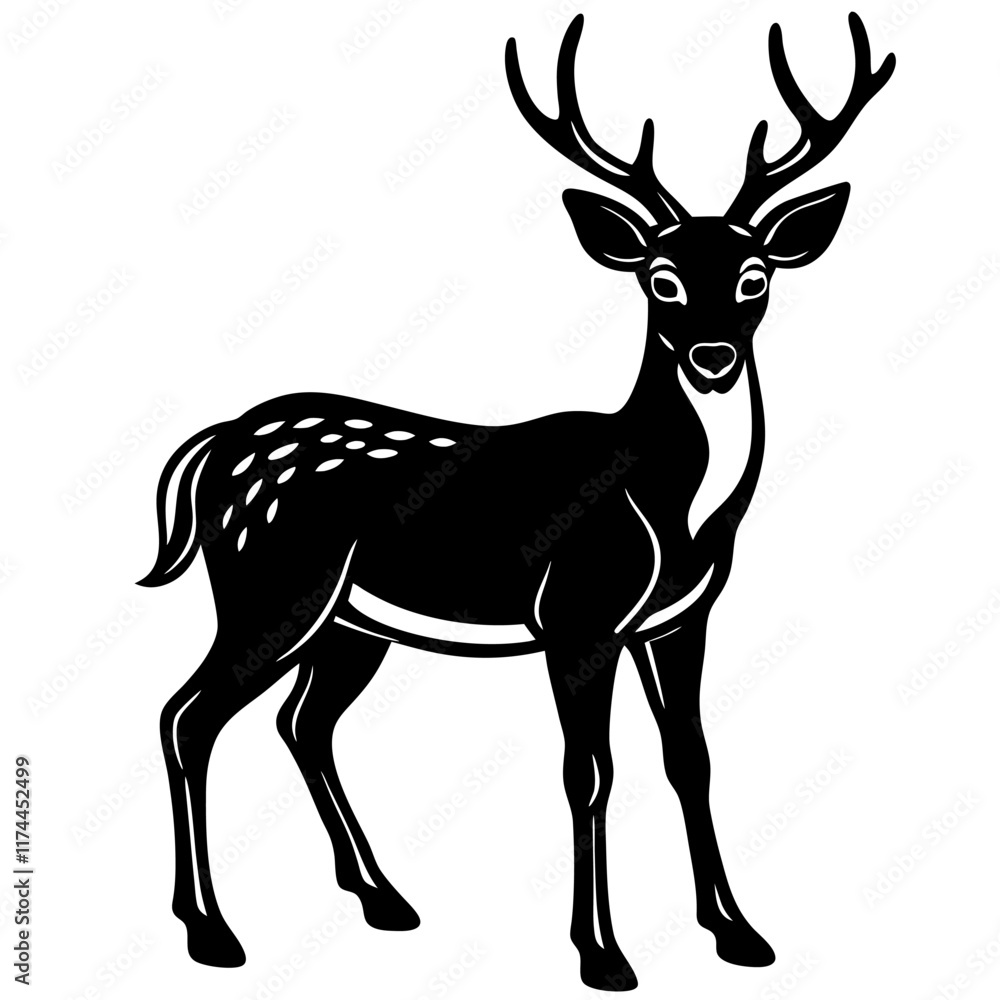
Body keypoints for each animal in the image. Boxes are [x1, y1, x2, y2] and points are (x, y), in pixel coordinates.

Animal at [138, 12, 893, 991]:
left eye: (756, 274)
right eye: (661, 278)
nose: (713, 356)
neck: (674, 511)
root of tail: (215, 444)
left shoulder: (680, 617)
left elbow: (691, 758)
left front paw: (739, 933)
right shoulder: (578, 612)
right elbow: (589, 771)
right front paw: (603, 955)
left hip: (349, 621)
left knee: (301, 723)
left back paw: (383, 898)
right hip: (268, 584)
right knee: (187, 715)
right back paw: (211, 931)